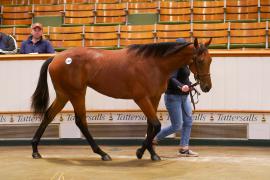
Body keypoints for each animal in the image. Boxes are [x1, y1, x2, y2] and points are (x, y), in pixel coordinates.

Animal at [31, 37, 213, 160]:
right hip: (76, 93)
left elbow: (151, 126)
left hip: (64, 94)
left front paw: (152, 154)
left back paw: (35, 150)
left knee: (49, 115)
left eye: (210, 60)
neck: (154, 64)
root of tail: (56, 57)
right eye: (200, 60)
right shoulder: (141, 98)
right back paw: (102, 153)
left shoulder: (153, 97)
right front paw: (140, 152)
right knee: (80, 121)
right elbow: (156, 125)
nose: (207, 87)